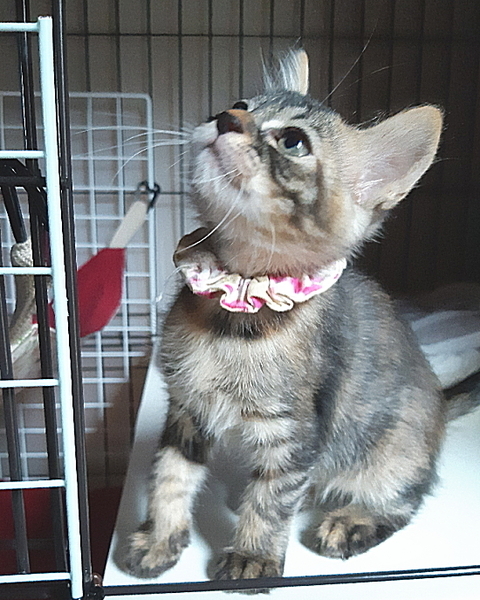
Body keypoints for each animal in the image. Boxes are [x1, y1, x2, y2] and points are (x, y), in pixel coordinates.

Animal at [125, 49, 470, 587]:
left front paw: (253, 558)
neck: (233, 310)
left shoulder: (295, 432)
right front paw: (161, 537)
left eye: (292, 141)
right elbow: (170, 476)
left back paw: (350, 521)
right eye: (240, 103)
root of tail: (438, 407)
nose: (225, 118)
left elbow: (271, 499)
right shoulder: (187, 410)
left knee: (403, 499)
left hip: (392, 450)